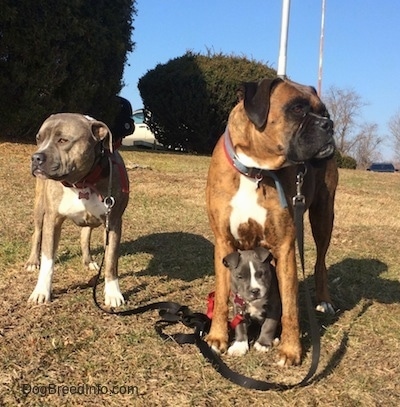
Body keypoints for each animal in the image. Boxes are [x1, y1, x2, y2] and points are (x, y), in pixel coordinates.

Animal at [25, 113, 129, 308]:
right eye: (38, 139)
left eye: (63, 140)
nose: (35, 158)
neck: (81, 182)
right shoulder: (52, 220)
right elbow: (48, 260)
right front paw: (41, 291)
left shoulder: (113, 222)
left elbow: (111, 260)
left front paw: (113, 293)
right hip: (40, 208)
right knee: (37, 233)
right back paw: (33, 262)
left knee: (85, 235)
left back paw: (89, 261)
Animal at [206, 77, 338, 366]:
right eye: (297, 109)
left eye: (323, 112)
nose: (329, 124)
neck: (255, 170)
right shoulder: (223, 242)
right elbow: (221, 296)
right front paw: (218, 337)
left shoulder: (285, 246)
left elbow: (289, 305)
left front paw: (290, 350)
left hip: (323, 216)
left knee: (320, 261)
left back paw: (324, 301)